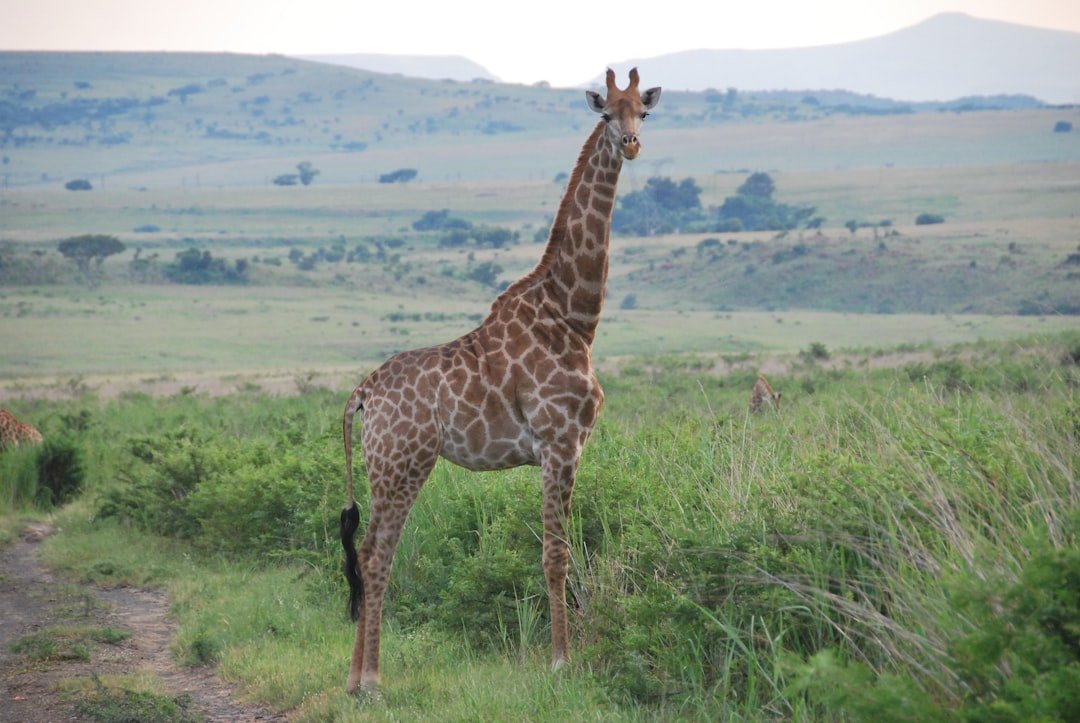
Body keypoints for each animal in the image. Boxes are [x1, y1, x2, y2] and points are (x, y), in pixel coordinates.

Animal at [340, 68, 661, 694]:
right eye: (607, 113)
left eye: (644, 110)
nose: (632, 144)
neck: (574, 316)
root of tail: (362, 394)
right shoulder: (560, 443)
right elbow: (555, 554)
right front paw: (561, 662)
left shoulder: (570, 446)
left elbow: (561, 550)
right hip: (401, 463)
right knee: (377, 554)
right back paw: (372, 681)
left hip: (387, 466)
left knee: (367, 551)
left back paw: (355, 679)